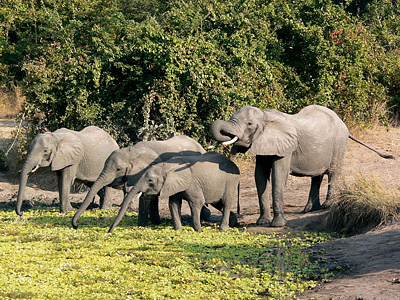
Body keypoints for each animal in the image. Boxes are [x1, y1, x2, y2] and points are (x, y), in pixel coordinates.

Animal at [72, 135, 209, 229]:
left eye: (118, 169)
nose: (76, 225)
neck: (132, 151)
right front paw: (152, 223)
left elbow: (146, 196)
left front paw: (144, 224)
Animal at [108, 152, 241, 232]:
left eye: (150, 180)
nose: (109, 231)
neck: (166, 166)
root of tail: (235, 166)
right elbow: (173, 204)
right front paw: (178, 230)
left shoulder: (191, 183)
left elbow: (197, 202)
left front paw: (198, 230)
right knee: (219, 203)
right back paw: (232, 223)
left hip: (231, 182)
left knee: (226, 202)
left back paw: (223, 229)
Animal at [211, 105, 392, 227]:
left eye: (249, 124)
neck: (266, 116)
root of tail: (341, 121)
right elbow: (260, 176)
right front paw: (262, 223)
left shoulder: (286, 147)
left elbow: (278, 176)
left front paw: (277, 225)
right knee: (317, 177)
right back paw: (310, 210)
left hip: (339, 142)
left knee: (333, 172)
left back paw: (326, 206)